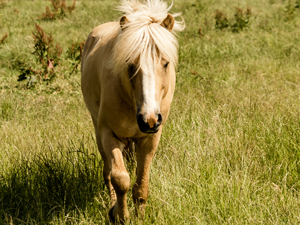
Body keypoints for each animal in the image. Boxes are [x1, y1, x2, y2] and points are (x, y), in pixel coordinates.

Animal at [80, 0, 183, 221]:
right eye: (130, 64)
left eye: (165, 63)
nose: (149, 119)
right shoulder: (109, 134)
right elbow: (119, 179)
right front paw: (119, 215)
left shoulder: (150, 139)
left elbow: (141, 186)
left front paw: (139, 217)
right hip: (98, 130)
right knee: (107, 172)